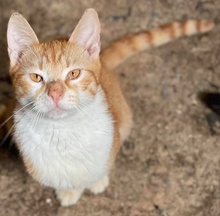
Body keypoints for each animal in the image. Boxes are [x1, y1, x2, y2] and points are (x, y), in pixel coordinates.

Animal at [4, 8, 213, 206]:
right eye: (36, 77)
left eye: (73, 74)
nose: (55, 93)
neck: (63, 133)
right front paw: (70, 191)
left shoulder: (112, 140)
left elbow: (100, 167)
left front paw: (96, 181)